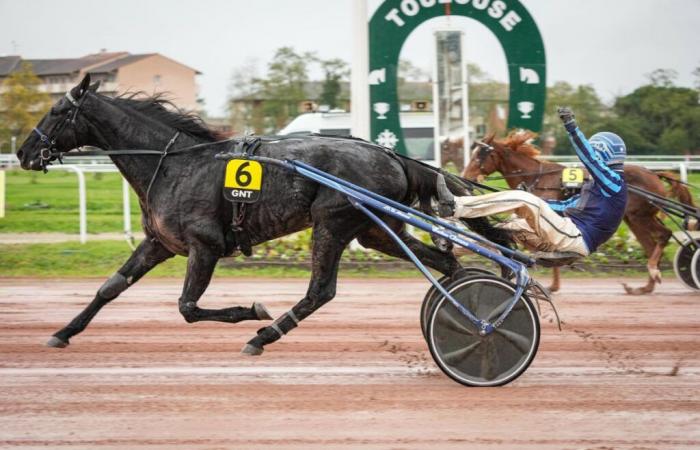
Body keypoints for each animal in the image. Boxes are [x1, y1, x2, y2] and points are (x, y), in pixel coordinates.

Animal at [16, 74, 508, 356]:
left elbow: (188, 307)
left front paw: (250, 310)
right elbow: (109, 288)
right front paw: (64, 332)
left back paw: (263, 335)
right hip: (373, 230)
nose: (22, 152)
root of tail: (392, 155)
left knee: (320, 292)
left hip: (333, 223)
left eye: (57, 110)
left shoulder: (205, 246)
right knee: (445, 262)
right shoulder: (159, 244)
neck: (175, 165)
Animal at [460, 132, 696, 294]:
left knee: (664, 235)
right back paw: (645, 286)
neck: (537, 176)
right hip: (633, 219)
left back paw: (654, 272)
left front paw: (552, 284)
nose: (466, 175)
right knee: (649, 245)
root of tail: (654, 174)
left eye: (481, 155)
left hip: (640, 216)